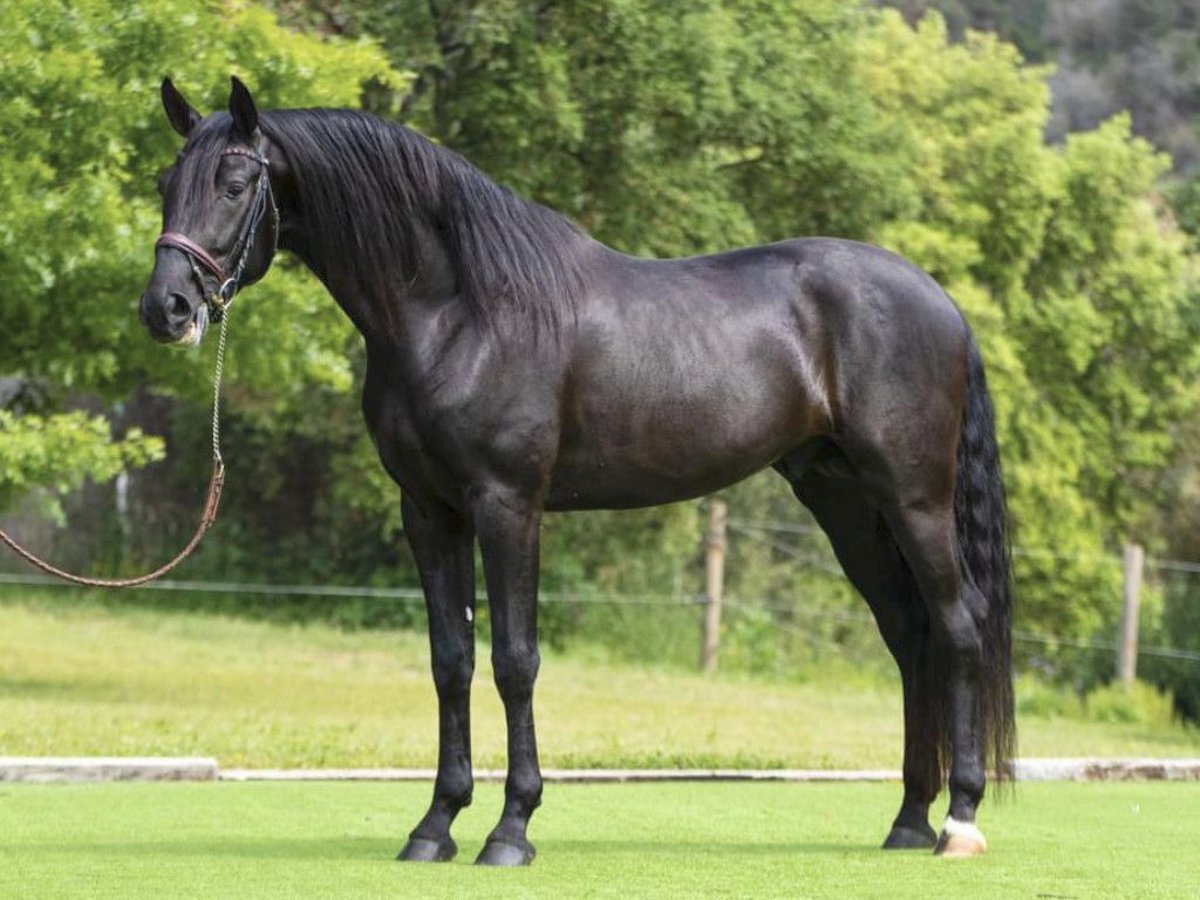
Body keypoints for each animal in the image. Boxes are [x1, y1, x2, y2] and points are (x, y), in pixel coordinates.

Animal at [145, 79, 1017, 868]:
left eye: (233, 184)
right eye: (164, 184)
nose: (167, 308)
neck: (460, 310)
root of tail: (941, 303)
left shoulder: (507, 505)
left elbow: (515, 661)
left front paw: (510, 830)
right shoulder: (428, 510)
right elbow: (450, 661)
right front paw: (435, 827)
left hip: (912, 497)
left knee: (958, 626)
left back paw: (960, 822)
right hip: (843, 502)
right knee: (908, 636)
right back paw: (907, 821)